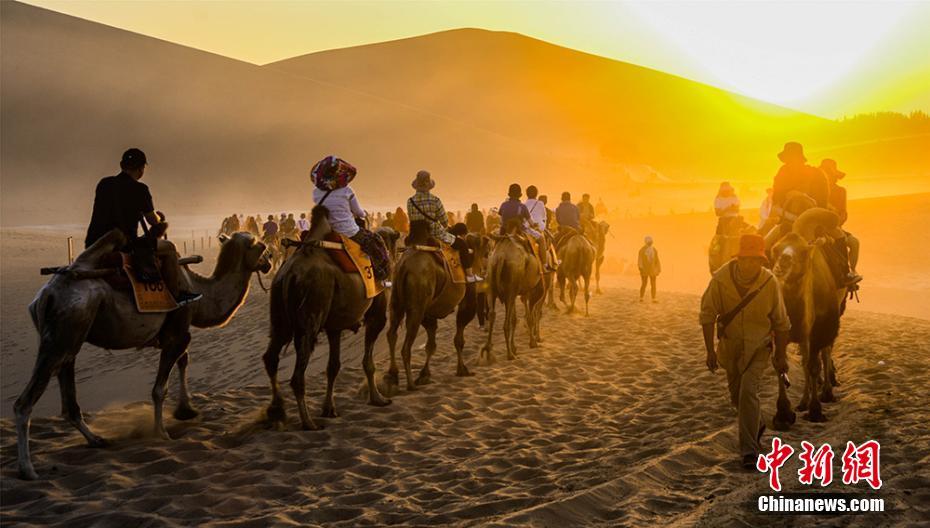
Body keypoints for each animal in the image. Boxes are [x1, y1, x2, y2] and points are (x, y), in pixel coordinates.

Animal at [15, 229, 268, 480]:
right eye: (260, 245)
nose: (269, 261)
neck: (201, 294)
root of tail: (46, 296)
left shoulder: (177, 334)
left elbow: (184, 361)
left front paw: (186, 410)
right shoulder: (177, 334)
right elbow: (159, 389)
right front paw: (162, 433)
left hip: (69, 338)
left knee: (69, 398)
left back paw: (97, 440)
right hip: (64, 333)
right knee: (25, 402)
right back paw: (27, 469)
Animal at [262, 204, 390, 432]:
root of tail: (289, 276)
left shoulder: (334, 327)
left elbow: (333, 366)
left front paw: (329, 409)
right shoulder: (376, 315)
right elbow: (368, 361)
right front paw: (378, 398)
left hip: (279, 315)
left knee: (271, 357)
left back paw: (277, 412)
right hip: (312, 311)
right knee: (297, 375)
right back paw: (308, 422)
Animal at [384, 220, 478, 392]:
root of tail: (404, 267)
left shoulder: (429, 312)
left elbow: (431, 344)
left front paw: (424, 375)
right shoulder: (466, 301)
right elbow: (459, 339)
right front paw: (463, 370)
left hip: (396, 300)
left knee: (391, 333)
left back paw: (393, 375)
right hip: (417, 303)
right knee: (406, 346)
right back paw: (410, 384)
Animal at [478, 220, 544, 364]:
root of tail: (501, 257)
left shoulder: (516, 290)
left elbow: (515, 318)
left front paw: (515, 346)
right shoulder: (527, 290)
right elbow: (529, 316)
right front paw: (532, 342)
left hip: (492, 284)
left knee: (492, 314)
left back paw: (488, 351)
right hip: (511, 287)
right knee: (506, 323)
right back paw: (509, 354)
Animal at [772, 208, 844, 422]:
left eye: (803, 252)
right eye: (775, 249)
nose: (782, 264)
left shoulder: (818, 331)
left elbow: (814, 365)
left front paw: (815, 410)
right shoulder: (780, 331)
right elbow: (780, 364)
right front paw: (783, 413)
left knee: (824, 354)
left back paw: (826, 392)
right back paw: (803, 401)